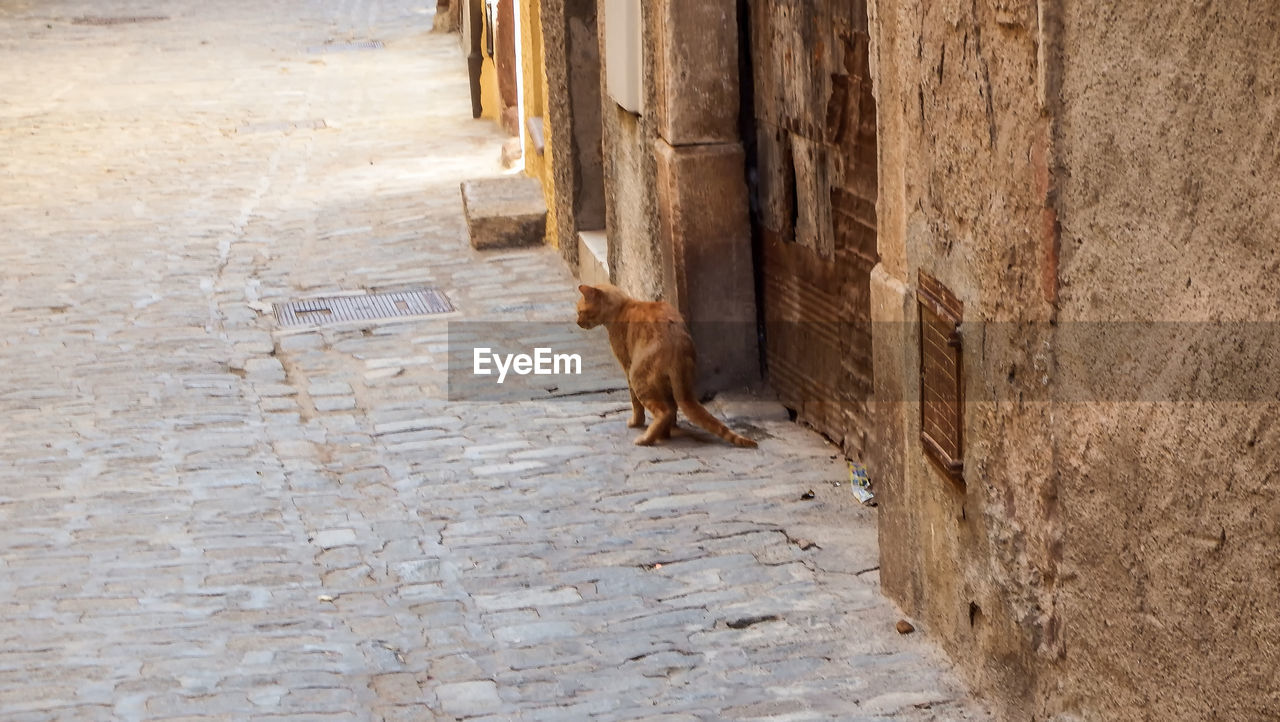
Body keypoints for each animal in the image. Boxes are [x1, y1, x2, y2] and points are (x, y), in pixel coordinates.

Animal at [573, 281, 757, 445]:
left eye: (580, 311)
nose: (577, 323)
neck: (622, 307)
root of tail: (677, 345)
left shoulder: (626, 365)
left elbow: (635, 403)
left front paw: (636, 422)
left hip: (638, 376)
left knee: (664, 412)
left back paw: (646, 439)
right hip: (669, 383)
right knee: (672, 408)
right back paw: (665, 433)